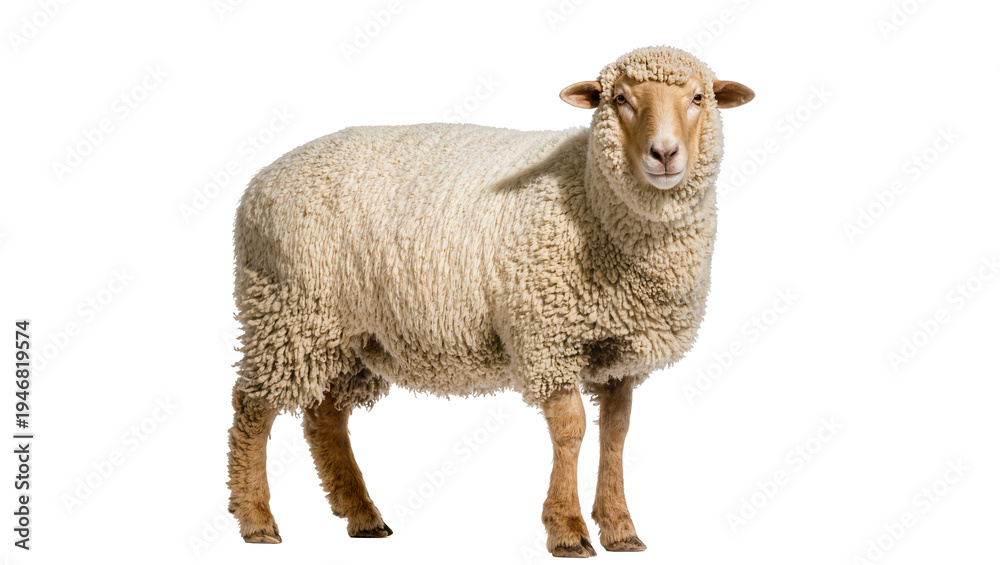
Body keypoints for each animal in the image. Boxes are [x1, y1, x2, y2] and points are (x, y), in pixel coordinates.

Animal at [226, 45, 753, 556]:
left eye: (699, 98)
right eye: (619, 98)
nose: (663, 153)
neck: (590, 197)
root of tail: (261, 179)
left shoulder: (619, 354)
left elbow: (616, 434)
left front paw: (621, 528)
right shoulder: (546, 337)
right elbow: (571, 430)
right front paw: (567, 530)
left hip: (348, 334)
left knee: (325, 417)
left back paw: (362, 515)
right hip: (285, 311)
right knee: (251, 408)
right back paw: (256, 519)